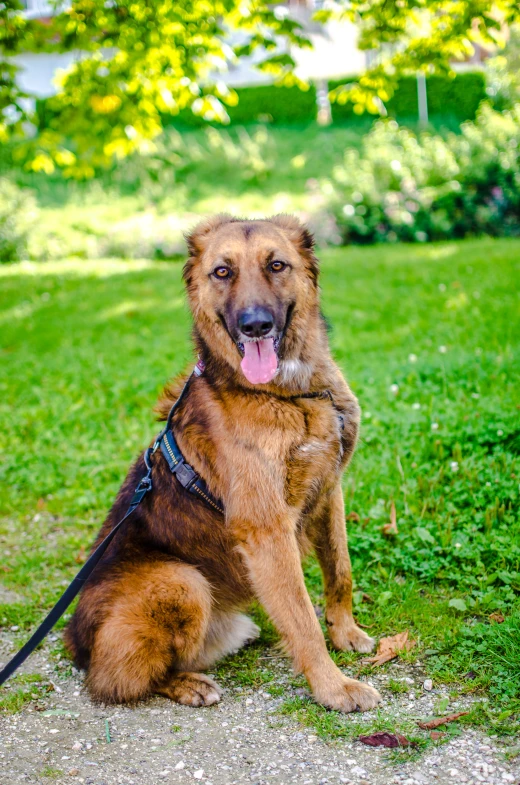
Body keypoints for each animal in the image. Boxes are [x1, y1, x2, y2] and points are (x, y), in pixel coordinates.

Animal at [65, 213, 382, 712]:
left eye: (276, 265)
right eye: (222, 272)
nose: (255, 325)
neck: (290, 394)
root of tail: (75, 643)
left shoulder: (329, 491)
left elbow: (340, 571)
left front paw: (345, 632)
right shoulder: (267, 529)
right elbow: (301, 620)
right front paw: (333, 687)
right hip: (182, 581)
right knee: (114, 680)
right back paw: (186, 683)